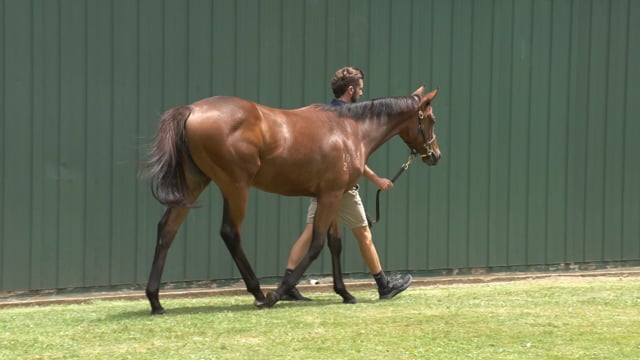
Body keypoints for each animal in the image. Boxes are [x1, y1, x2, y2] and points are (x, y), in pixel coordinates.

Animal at [143, 86, 440, 314]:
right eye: (432, 119)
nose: (435, 155)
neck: (350, 129)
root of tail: (192, 110)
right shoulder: (331, 196)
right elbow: (317, 244)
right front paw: (277, 294)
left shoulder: (332, 195)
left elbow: (335, 244)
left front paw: (344, 293)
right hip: (236, 187)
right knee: (230, 233)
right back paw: (259, 293)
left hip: (195, 184)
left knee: (167, 229)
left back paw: (155, 301)